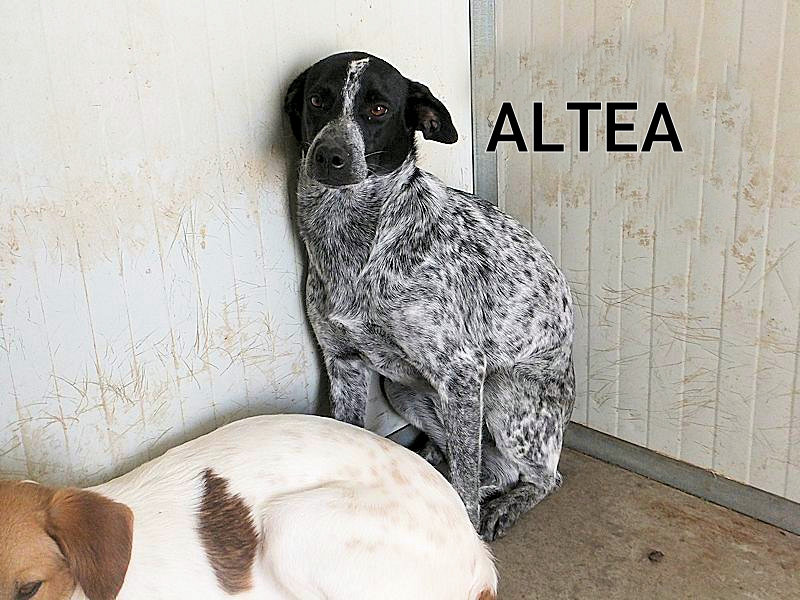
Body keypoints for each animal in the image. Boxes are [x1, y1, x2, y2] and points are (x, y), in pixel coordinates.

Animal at [283, 52, 576, 541]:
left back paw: (504, 505)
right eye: (318, 100)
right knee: (486, 468)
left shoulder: (462, 372)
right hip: (403, 390)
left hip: (500, 393)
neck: (352, 236)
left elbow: (466, 489)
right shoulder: (343, 362)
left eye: (378, 109)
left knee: (539, 477)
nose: (330, 156)